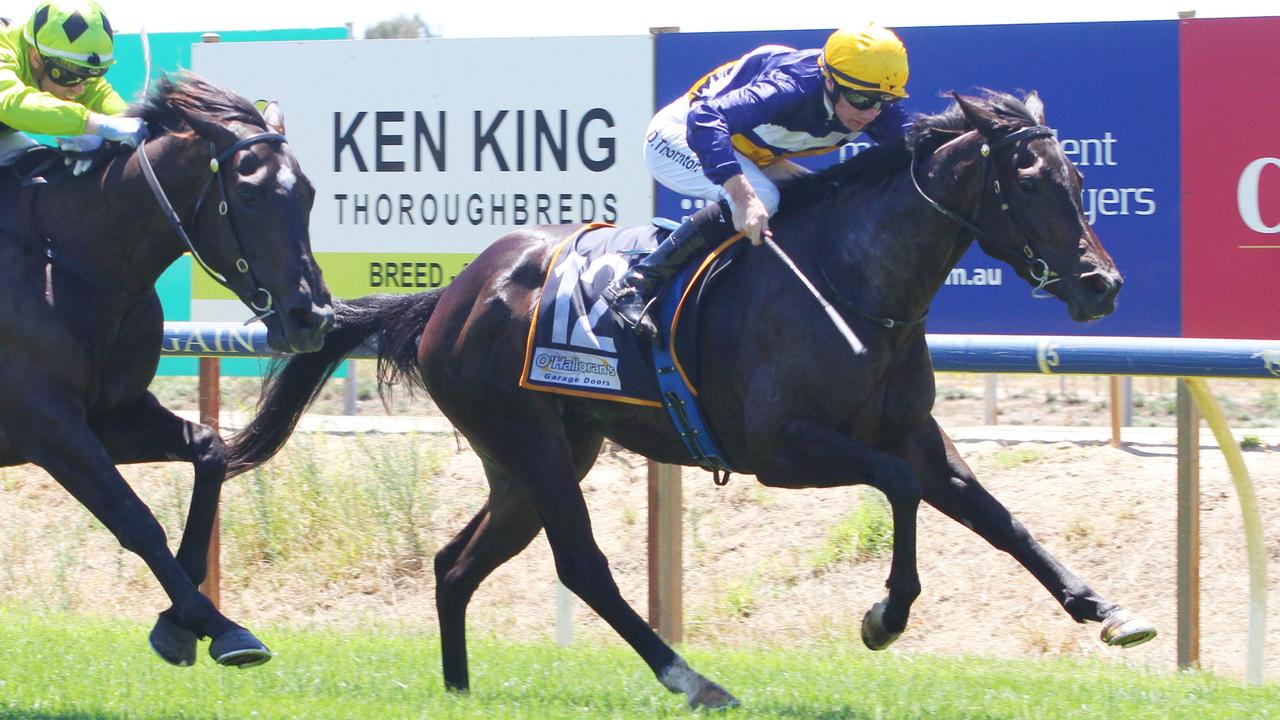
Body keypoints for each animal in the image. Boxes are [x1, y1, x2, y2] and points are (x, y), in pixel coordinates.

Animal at [0, 74, 335, 666]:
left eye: (309, 194)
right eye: (248, 194)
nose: (311, 317)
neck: (69, 257)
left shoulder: (111, 415)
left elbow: (209, 450)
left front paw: (179, 622)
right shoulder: (47, 426)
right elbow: (135, 519)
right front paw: (216, 623)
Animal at [225, 92, 1157, 702]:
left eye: (1080, 182)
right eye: (1030, 184)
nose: (1103, 286)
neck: (853, 282)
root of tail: (449, 294)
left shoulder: (915, 433)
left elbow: (995, 515)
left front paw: (1107, 610)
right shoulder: (781, 448)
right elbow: (898, 489)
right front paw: (883, 616)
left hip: (537, 456)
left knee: (456, 564)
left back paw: (458, 691)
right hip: (530, 444)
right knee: (581, 565)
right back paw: (692, 678)